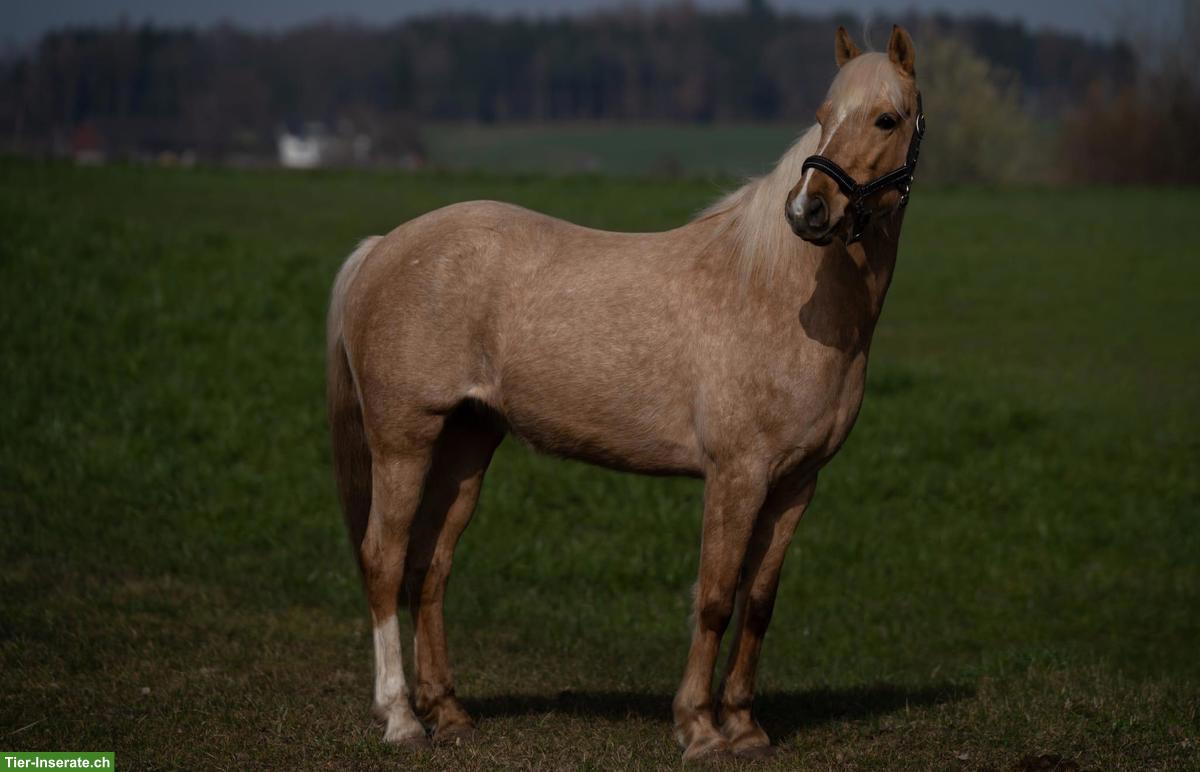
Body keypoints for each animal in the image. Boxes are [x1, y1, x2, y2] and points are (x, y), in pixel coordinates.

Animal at [326, 25, 923, 761]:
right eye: (822, 114)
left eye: (887, 119)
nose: (809, 210)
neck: (779, 292)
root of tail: (382, 248)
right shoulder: (737, 475)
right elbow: (715, 596)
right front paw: (700, 728)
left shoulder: (795, 484)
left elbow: (759, 601)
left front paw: (745, 727)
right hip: (403, 442)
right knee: (383, 561)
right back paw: (402, 718)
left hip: (467, 441)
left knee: (429, 568)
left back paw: (449, 712)